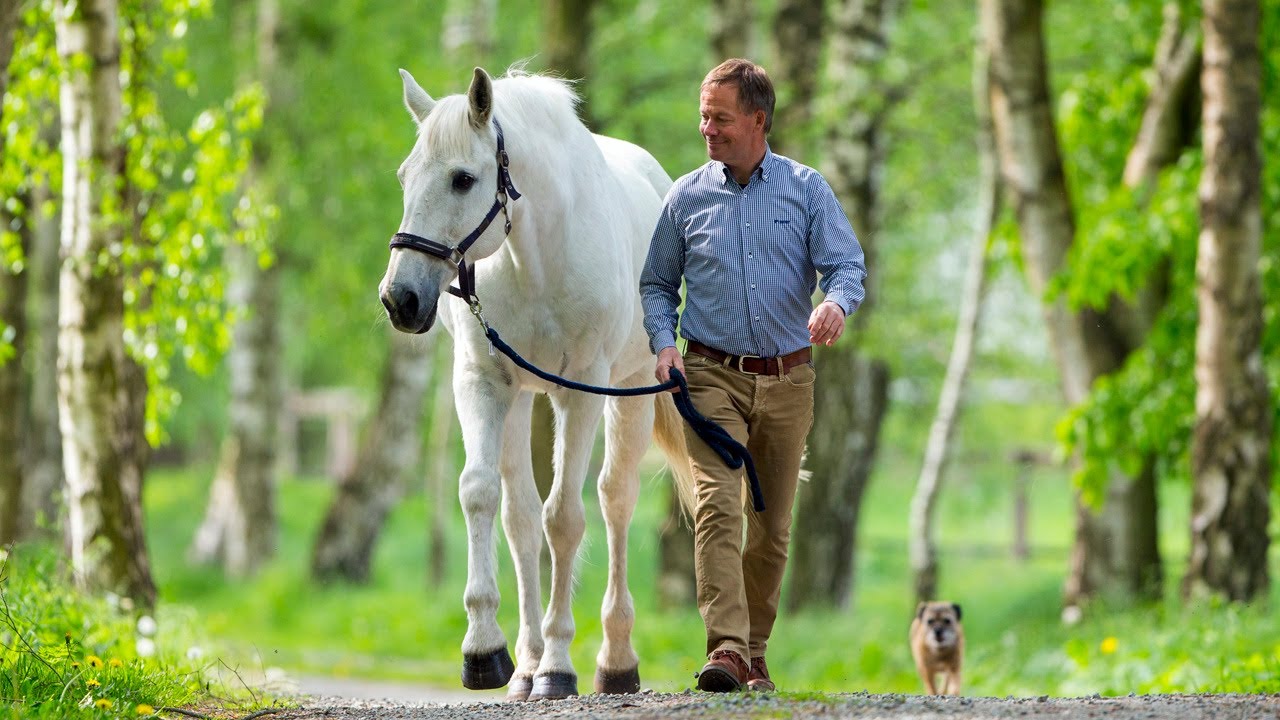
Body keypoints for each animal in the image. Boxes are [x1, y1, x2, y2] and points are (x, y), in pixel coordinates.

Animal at [378, 65, 696, 696]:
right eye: (405, 176)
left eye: (462, 179)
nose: (400, 299)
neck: (538, 255)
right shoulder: (483, 384)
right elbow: (480, 494)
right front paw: (485, 650)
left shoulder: (582, 393)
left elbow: (565, 518)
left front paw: (558, 666)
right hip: (522, 400)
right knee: (519, 516)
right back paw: (523, 664)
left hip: (629, 394)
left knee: (614, 501)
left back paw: (614, 660)